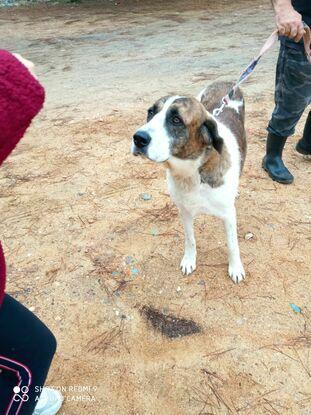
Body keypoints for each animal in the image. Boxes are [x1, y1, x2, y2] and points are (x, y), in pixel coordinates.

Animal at [132, 81, 249, 282]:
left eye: (176, 120)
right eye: (151, 112)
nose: (138, 138)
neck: (192, 173)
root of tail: (227, 82)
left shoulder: (228, 215)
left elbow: (233, 245)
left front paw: (235, 268)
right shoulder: (184, 211)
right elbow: (190, 239)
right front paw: (189, 260)